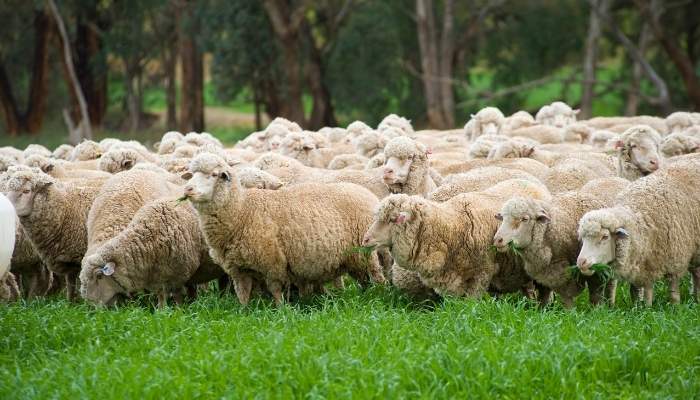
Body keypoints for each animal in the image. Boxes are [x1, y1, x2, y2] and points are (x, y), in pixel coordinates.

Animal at [81, 198, 224, 308]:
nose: (90, 306)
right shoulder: (159, 278)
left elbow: (177, 296)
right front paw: (162, 312)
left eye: (99, 276)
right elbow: (161, 297)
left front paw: (178, 311)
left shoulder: (179, 275)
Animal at [183, 153, 386, 304]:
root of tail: (367, 194)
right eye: (192, 174)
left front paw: (281, 310)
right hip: (353, 258)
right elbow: (243, 294)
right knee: (364, 280)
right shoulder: (237, 270)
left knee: (376, 277)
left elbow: (275, 290)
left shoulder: (273, 261)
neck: (242, 211)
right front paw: (244, 312)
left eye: (214, 174)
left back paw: (378, 297)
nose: (188, 189)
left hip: (366, 253)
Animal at [576, 158, 700, 304]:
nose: (581, 262)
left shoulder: (676, 259)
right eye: (583, 239)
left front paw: (675, 306)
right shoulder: (644, 263)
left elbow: (673, 292)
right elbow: (642, 291)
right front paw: (642, 306)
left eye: (605, 237)